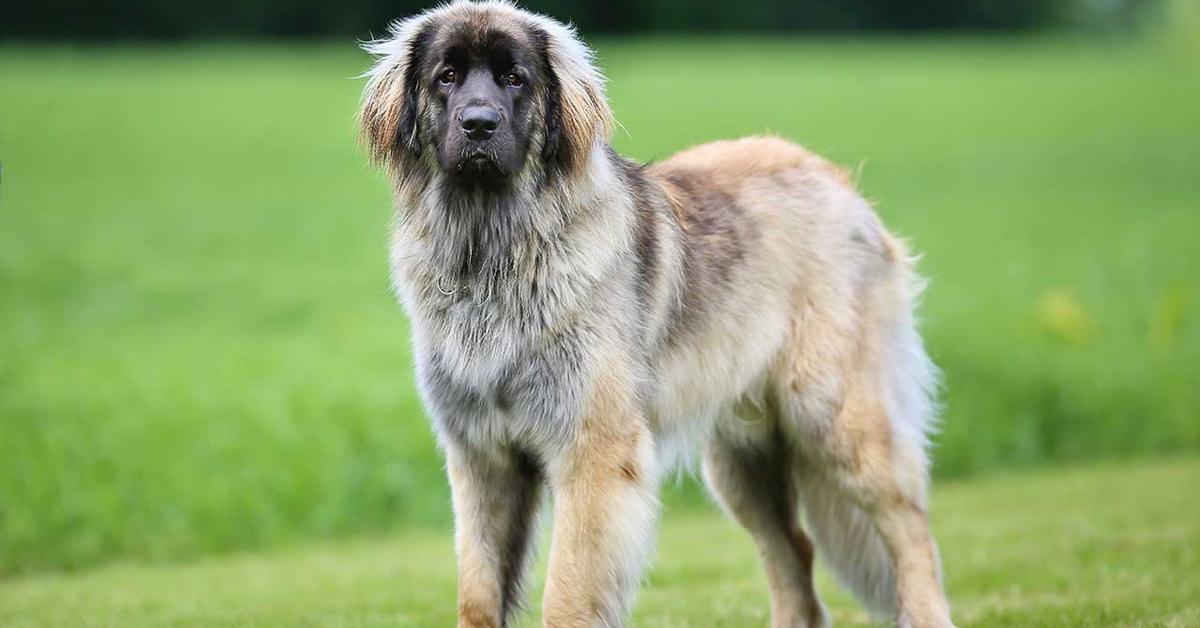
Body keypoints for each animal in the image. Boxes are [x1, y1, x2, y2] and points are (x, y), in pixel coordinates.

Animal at [360, 2, 950, 624]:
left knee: (908, 524)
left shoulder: (592, 454)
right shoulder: (482, 459)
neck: (493, 253)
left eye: (515, 78)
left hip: (835, 418)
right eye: (446, 77)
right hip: (741, 462)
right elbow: (478, 595)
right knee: (791, 549)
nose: (478, 125)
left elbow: (567, 593)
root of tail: (840, 184)